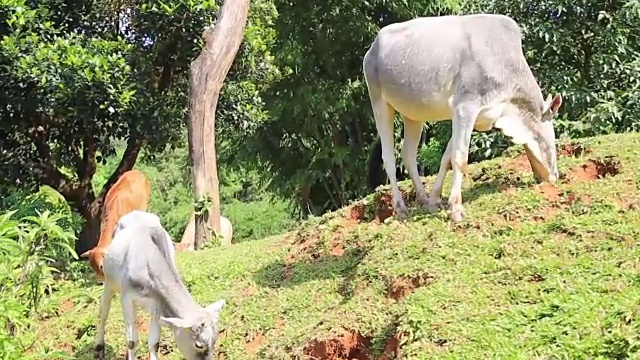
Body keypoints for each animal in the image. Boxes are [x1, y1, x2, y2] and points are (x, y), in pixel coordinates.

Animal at [94, 210, 225, 360]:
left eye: (215, 340)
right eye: (198, 344)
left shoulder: (158, 305)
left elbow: (154, 343)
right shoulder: (127, 298)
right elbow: (132, 341)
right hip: (110, 283)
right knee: (103, 313)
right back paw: (99, 347)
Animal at [362, 14, 564, 221]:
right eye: (553, 136)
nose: (555, 176)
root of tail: (373, 48)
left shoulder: (469, 115)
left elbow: (447, 158)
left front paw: (434, 200)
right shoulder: (464, 106)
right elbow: (460, 158)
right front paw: (456, 209)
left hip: (413, 115)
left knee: (408, 154)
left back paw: (423, 198)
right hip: (379, 103)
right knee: (388, 158)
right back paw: (400, 208)